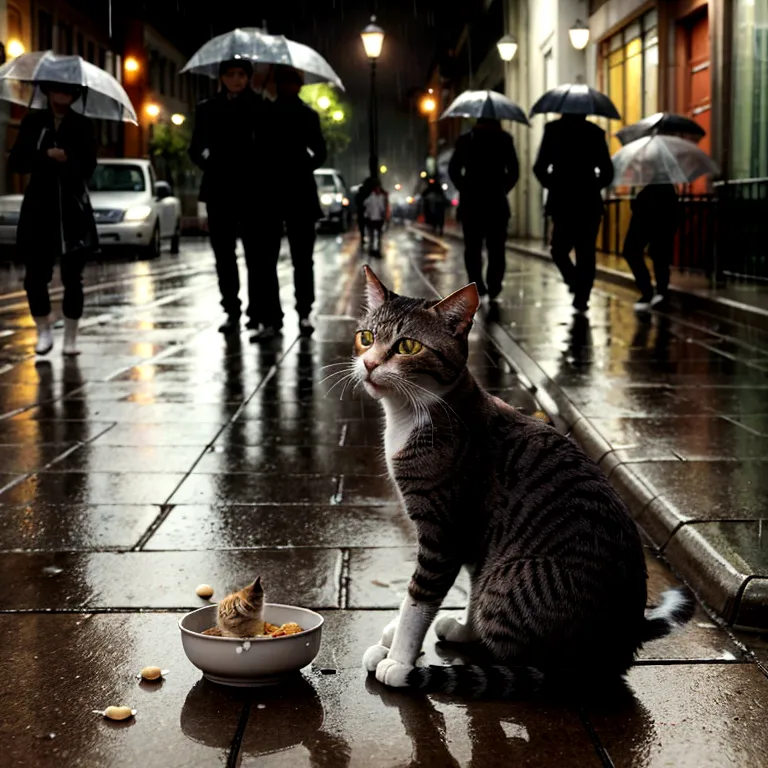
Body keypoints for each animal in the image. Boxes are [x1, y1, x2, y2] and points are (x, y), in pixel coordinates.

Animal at [356, 268, 692, 700]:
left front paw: (399, 657)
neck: (411, 415)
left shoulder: (444, 531)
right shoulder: (476, 536)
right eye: (366, 337)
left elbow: (418, 599)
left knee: (533, 660)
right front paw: (430, 633)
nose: (367, 364)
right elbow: (468, 582)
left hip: (512, 581)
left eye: (407, 346)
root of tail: (619, 646)